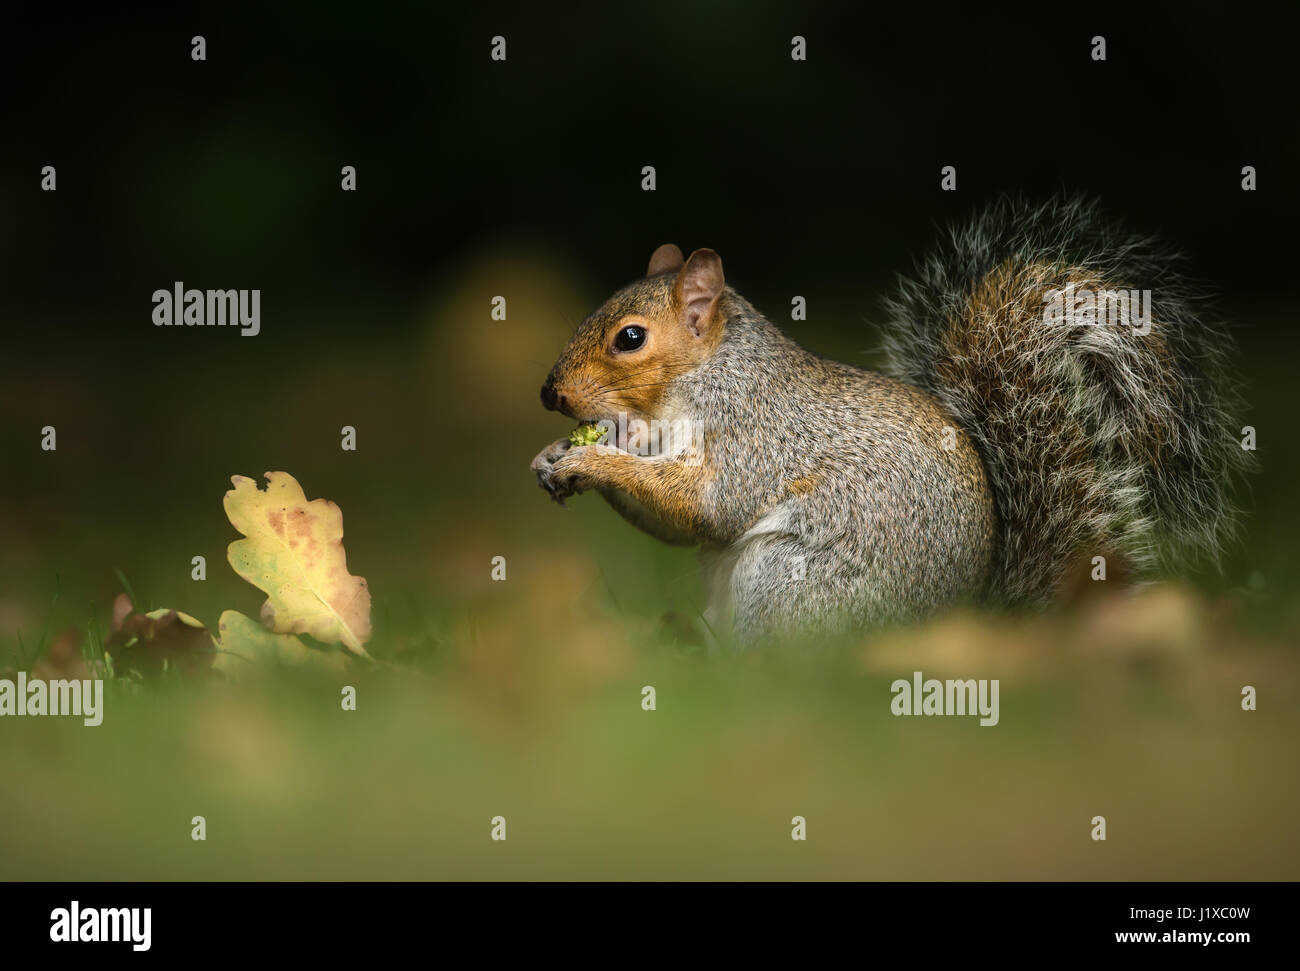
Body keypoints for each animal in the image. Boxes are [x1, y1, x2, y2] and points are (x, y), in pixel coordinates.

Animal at [527, 197, 1248, 644]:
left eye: (630, 338)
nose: (549, 393)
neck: (699, 379)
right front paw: (554, 456)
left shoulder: (754, 436)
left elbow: (704, 504)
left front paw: (589, 458)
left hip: (789, 579)